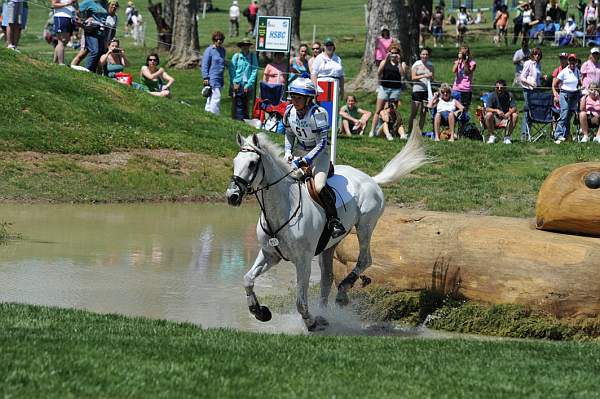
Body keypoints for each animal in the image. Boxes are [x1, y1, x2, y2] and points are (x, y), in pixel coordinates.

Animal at [225, 131, 426, 332]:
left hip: (365, 226)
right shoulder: (270, 255)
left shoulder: (303, 261)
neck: (284, 208)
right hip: (330, 245)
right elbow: (247, 279)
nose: (232, 196)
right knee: (327, 277)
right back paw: (326, 312)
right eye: (235, 162)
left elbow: (300, 301)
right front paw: (260, 312)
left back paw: (342, 293)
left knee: (364, 260)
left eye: (252, 163)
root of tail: (370, 179)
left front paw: (311, 322)